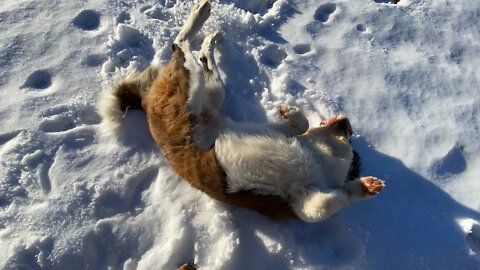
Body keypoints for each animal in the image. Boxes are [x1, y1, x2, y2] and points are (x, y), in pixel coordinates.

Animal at [98, 0, 386, 224]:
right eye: (350, 136)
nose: (346, 122)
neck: (319, 158)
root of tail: (146, 102)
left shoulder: (303, 200)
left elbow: (325, 205)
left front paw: (364, 187)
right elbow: (301, 124)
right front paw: (288, 109)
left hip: (211, 89)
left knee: (198, 56)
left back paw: (210, 38)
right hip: (194, 88)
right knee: (180, 44)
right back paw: (201, 14)